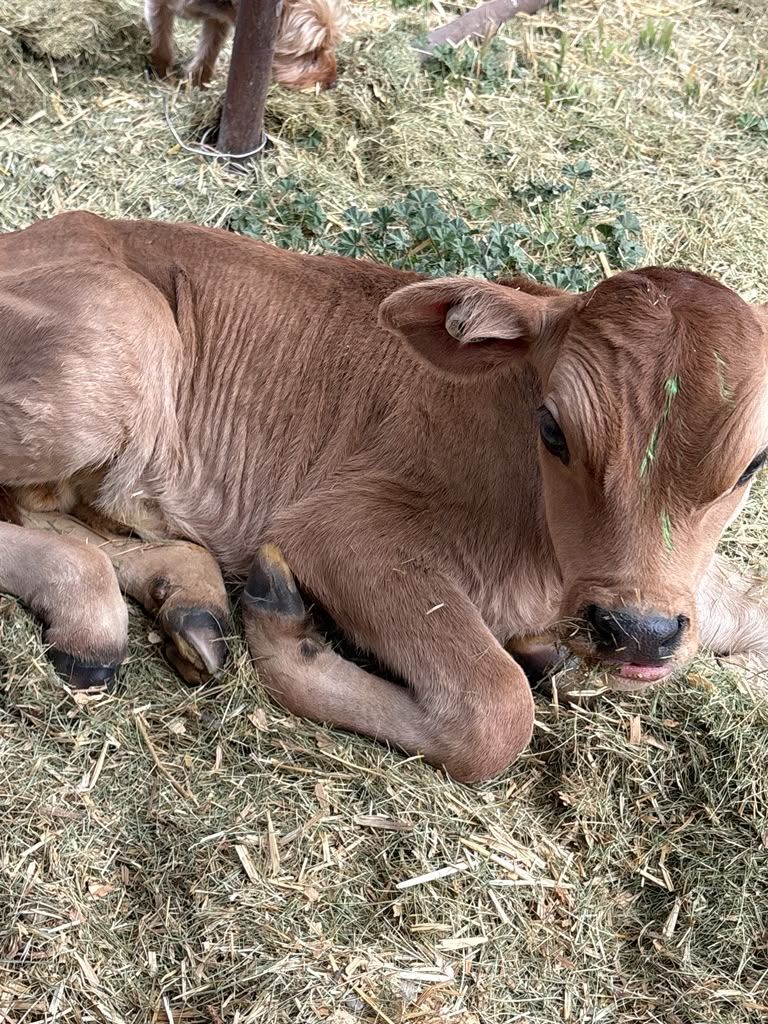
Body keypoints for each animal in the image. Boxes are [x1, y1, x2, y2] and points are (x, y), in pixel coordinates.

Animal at [1, 211, 767, 783]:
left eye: (754, 462)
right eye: (552, 428)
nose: (638, 631)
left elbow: (749, 606)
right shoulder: (338, 529)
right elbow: (495, 710)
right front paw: (286, 633)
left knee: (47, 509)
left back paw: (187, 597)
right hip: (118, 345)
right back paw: (90, 609)